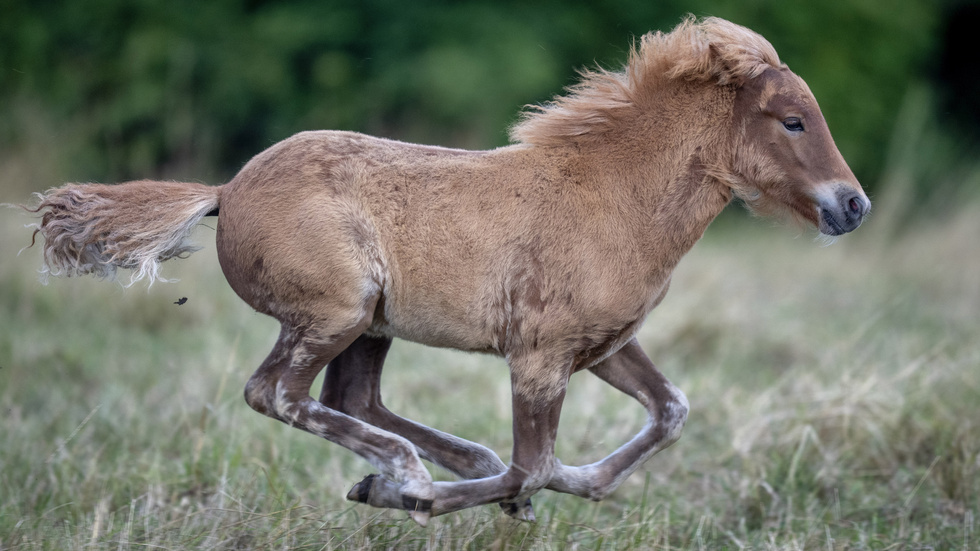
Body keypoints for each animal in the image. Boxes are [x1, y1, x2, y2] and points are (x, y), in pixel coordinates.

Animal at [26, 17, 864, 524]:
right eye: (793, 121)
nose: (852, 205)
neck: (614, 196)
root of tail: (225, 191)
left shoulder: (605, 345)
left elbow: (665, 413)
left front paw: (557, 488)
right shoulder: (539, 357)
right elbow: (534, 464)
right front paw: (416, 497)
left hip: (370, 325)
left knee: (353, 397)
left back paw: (422, 465)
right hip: (335, 310)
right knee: (278, 393)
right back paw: (405, 473)